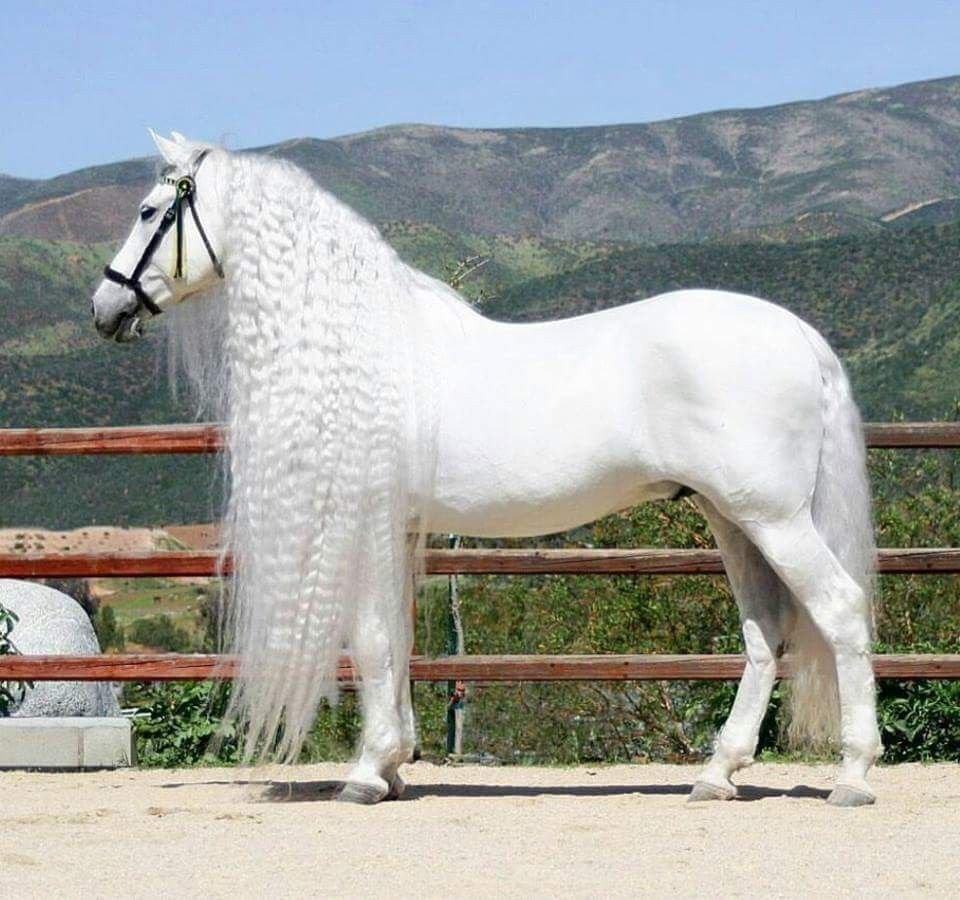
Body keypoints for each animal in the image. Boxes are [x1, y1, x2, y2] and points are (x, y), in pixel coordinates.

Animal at [91, 131, 880, 806]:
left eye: (150, 211)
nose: (104, 307)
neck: (362, 349)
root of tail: (799, 335)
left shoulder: (368, 519)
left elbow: (371, 641)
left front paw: (366, 773)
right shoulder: (398, 528)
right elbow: (398, 642)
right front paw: (394, 765)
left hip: (772, 518)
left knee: (840, 608)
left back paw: (852, 775)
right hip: (731, 517)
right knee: (765, 634)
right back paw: (718, 774)